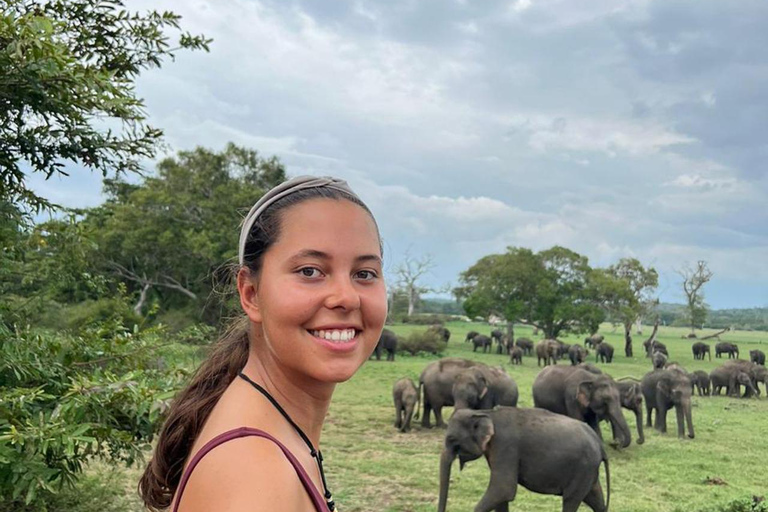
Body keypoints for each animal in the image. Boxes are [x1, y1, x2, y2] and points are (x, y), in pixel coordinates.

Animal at [438, 408, 612, 512]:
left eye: (451, 439)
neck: (487, 413)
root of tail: (599, 444)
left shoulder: (505, 447)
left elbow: (503, 489)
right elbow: (502, 496)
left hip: (583, 469)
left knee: (571, 500)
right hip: (588, 471)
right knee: (596, 499)